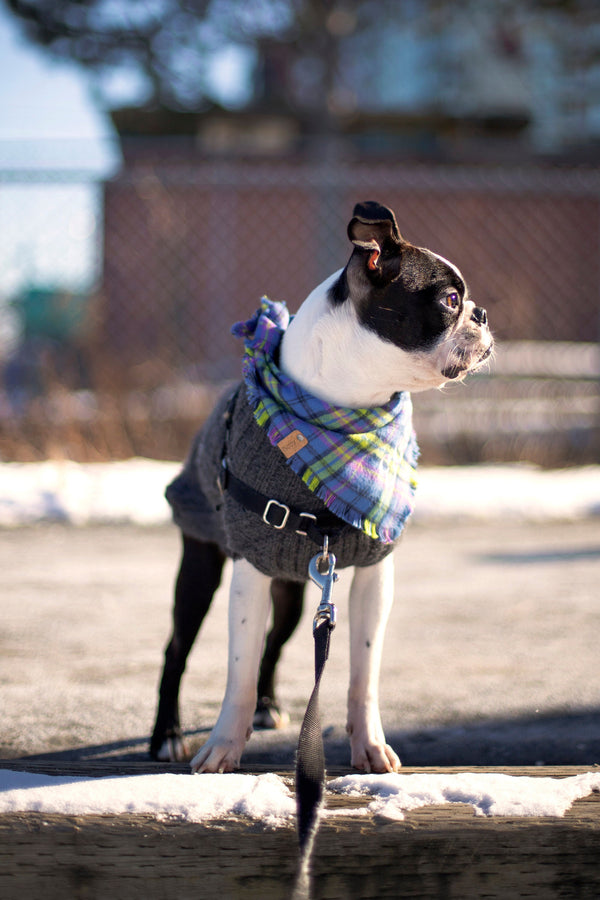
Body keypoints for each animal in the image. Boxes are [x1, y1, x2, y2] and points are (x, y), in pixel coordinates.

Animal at [150, 202, 492, 772]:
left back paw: (268, 706)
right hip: (200, 568)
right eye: (449, 301)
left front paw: (369, 745)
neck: (348, 412)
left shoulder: (375, 575)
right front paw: (222, 747)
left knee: (276, 642)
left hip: (291, 586)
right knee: (177, 648)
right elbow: (237, 670)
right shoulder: (248, 570)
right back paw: (168, 734)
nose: (483, 314)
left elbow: (362, 673)